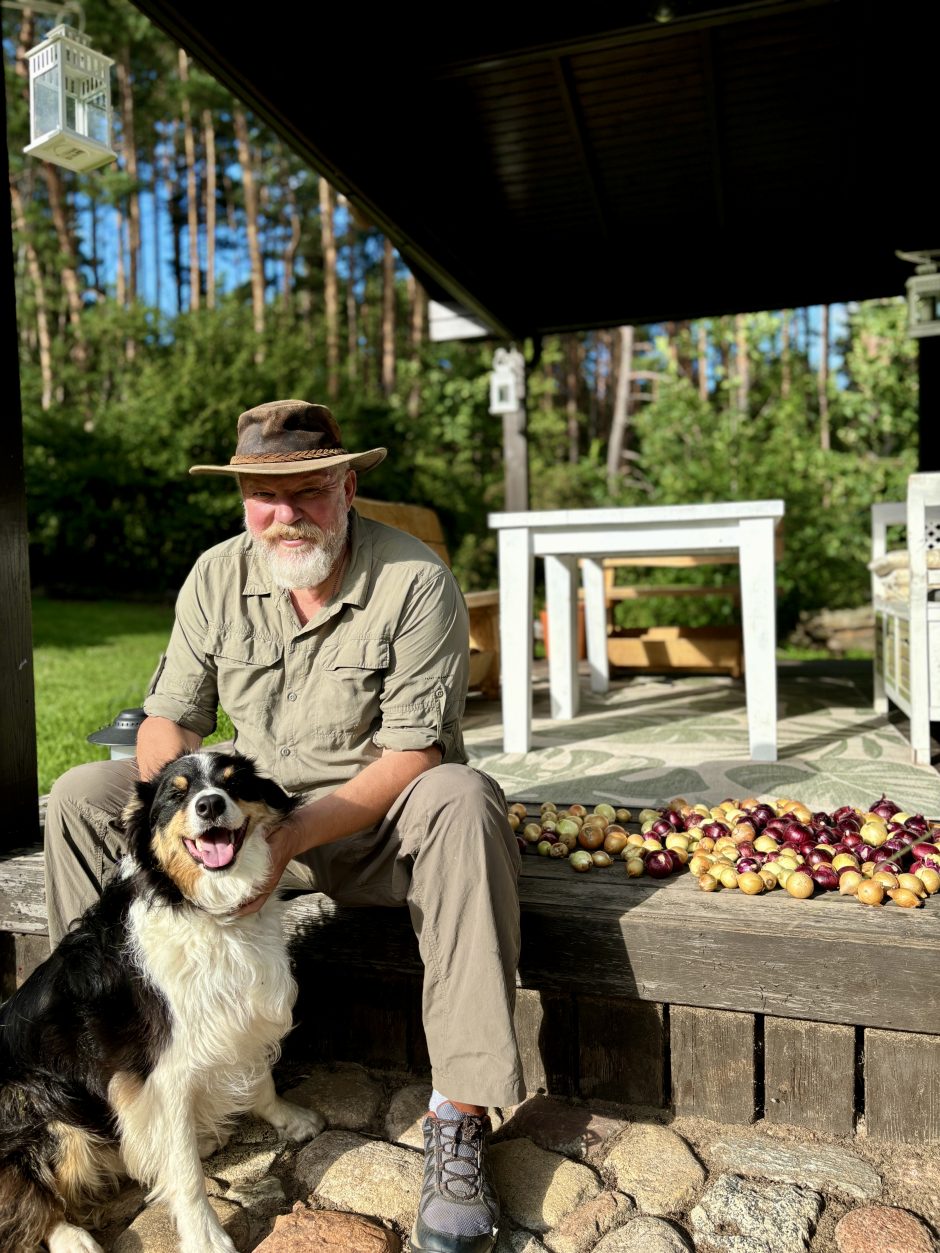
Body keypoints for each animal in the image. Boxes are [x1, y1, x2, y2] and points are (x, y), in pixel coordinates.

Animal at [0, 751, 328, 1253]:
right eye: (176, 796)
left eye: (234, 784)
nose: (210, 805)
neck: (206, 908)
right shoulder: (161, 1070)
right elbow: (186, 1173)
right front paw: (205, 1236)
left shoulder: (238, 1015)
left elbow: (260, 1079)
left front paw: (288, 1118)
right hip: (41, 1101)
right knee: (26, 1191)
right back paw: (72, 1237)